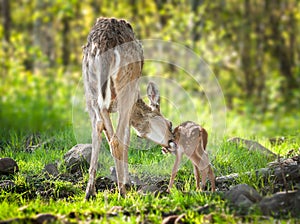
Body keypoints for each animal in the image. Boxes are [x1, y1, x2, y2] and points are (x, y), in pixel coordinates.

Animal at [83, 18, 175, 200]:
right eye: (169, 123)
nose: (171, 142)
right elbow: (126, 136)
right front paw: (127, 181)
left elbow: (105, 132)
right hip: (126, 84)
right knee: (117, 140)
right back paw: (122, 192)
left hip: (90, 89)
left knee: (98, 130)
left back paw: (90, 192)